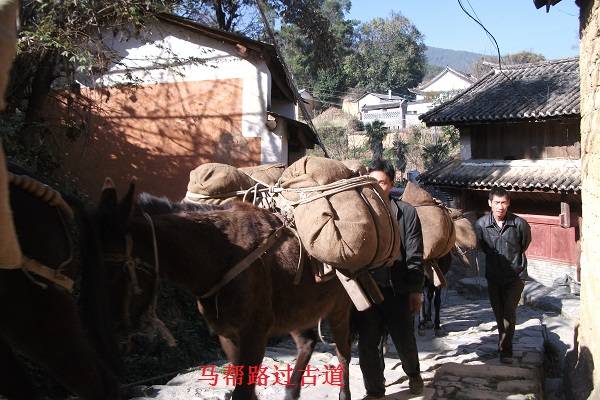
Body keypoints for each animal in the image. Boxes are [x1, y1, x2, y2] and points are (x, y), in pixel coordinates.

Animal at [96, 181, 354, 400]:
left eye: (117, 271)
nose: (108, 341)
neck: (222, 254)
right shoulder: (228, 334)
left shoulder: (254, 334)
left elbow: (243, 393)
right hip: (298, 311)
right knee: (307, 343)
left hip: (339, 310)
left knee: (343, 354)